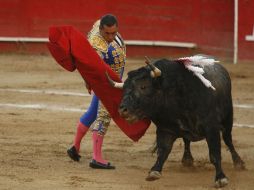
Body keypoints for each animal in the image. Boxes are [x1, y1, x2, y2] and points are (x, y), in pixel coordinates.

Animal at [108, 55, 245, 188]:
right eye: (124, 89)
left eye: (143, 87)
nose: (122, 110)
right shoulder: (165, 129)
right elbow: (163, 151)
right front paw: (154, 171)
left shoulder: (211, 127)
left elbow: (215, 153)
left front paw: (221, 179)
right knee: (186, 140)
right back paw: (187, 159)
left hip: (228, 118)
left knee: (228, 139)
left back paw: (239, 163)